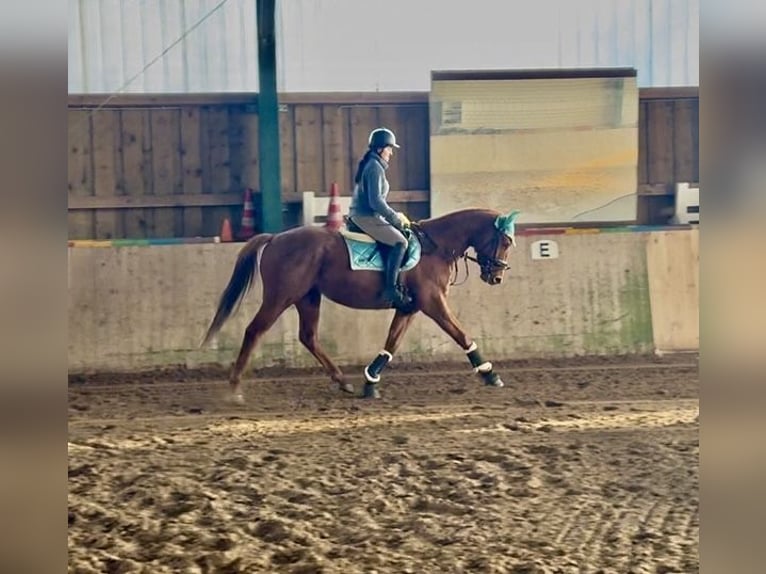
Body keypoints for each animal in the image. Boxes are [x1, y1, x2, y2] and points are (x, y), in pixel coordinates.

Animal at [202, 207, 521, 402]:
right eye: (505, 241)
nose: (497, 277)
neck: (436, 247)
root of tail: (276, 237)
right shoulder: (433, 302)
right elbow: (461, 335)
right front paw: (490, 373)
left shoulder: (409, 308)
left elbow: (391, 344)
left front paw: (370, 383)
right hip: (281, 296)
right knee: (254, 331)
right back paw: (235, 388)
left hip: (308, 297)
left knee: (308, 337)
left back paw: (343, 381)